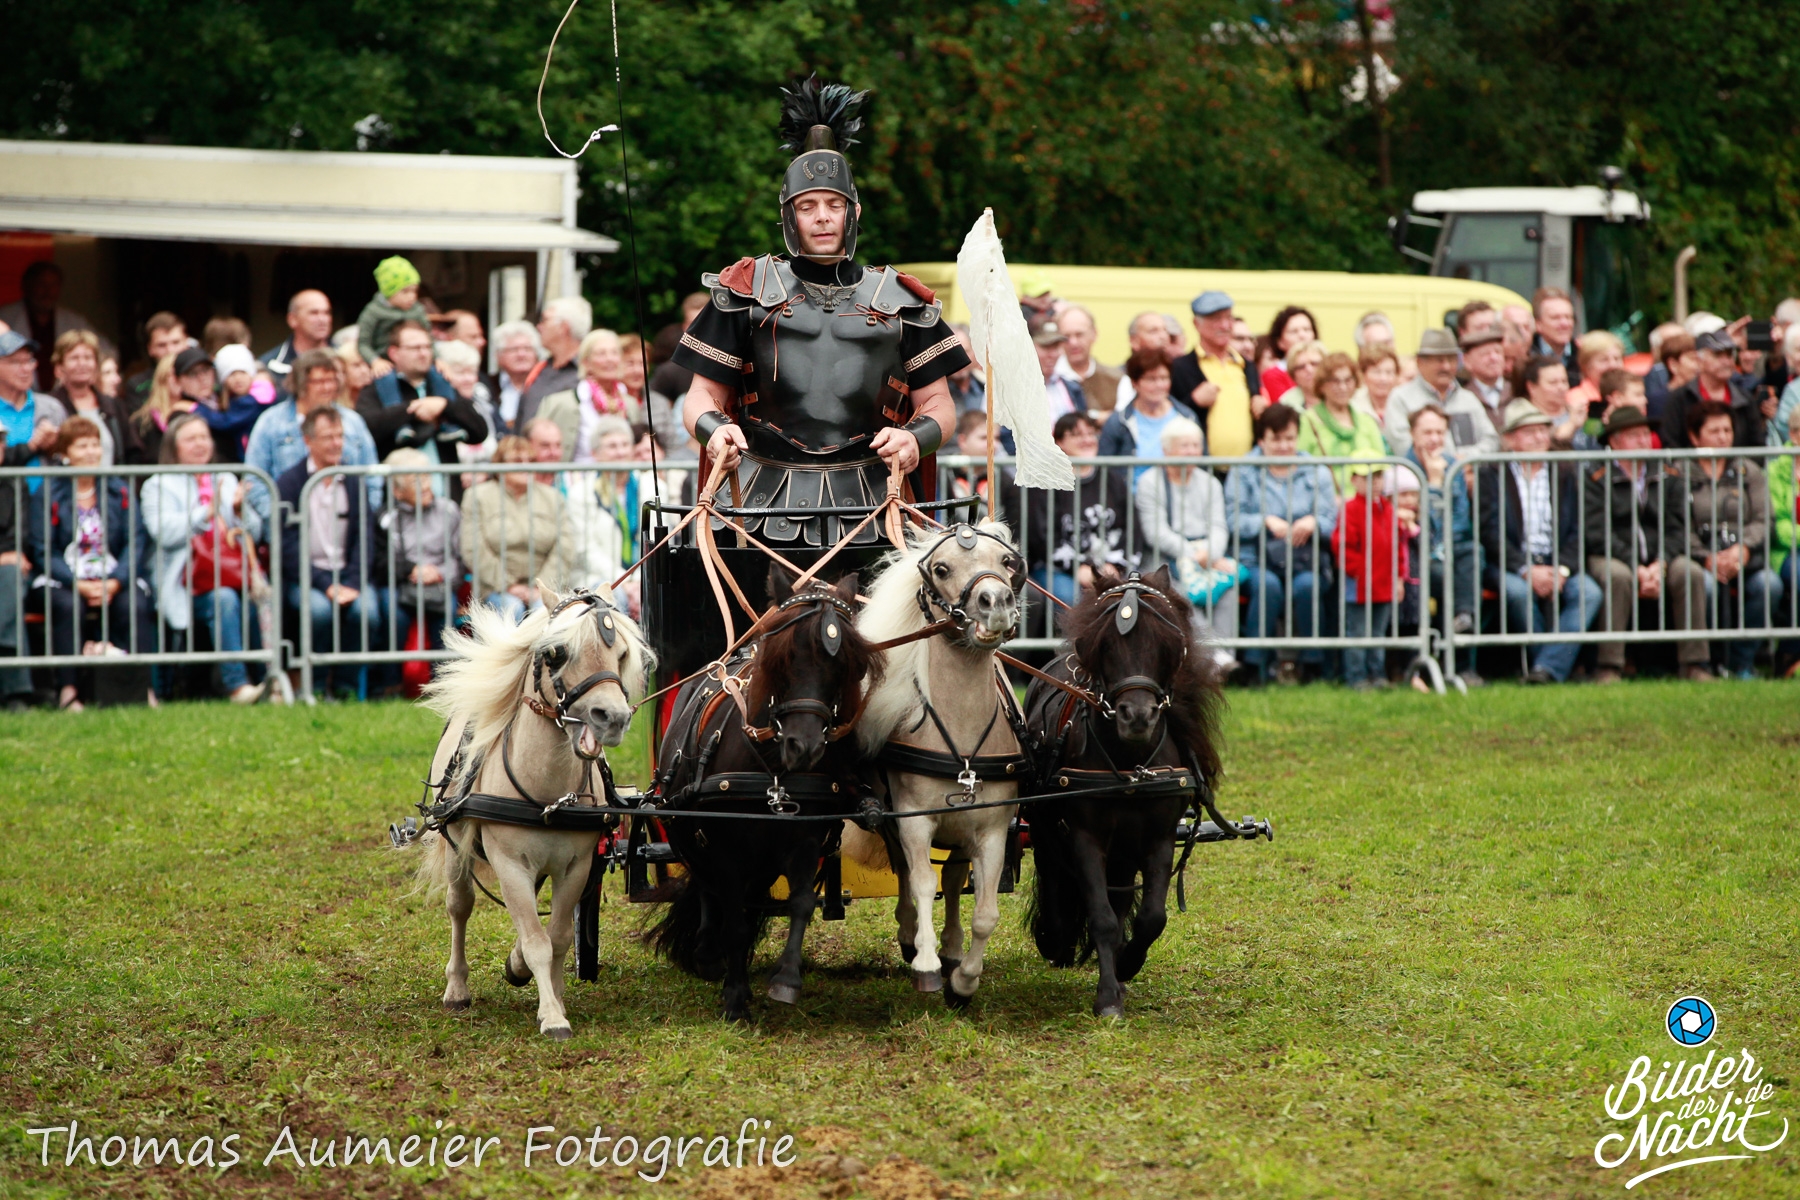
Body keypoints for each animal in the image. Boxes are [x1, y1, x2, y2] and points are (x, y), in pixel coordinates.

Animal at [413, 586, 652, 1038]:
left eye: (623, 654)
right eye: (556, 653)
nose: (612, 718)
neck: (549, 796)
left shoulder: (576, 866)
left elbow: (555, 937)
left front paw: (550, 994)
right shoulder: (509, 865)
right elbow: (537, 940)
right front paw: (554, 1017)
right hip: (457, 846)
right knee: (460, 906)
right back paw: (457, 989)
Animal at [647, 567, 879, 1022]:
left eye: (844, 665)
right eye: (783, 657)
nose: (804, 747)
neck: (774, 774)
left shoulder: (806, 841)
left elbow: (801, 902)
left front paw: (786, 980)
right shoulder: (725, 847)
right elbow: (734, 917)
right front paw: (735, 997)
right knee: (708, 887)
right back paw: (708, 954)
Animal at [841, 520, 1027, 1007]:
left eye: (1006, 562)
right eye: (942, 568)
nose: (996, 603)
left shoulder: (992, 829)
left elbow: (984, 910)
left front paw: (963, 980)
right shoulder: (912, 820)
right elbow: (923, 882)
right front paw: (924, 963)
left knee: (956, 878)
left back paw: (952, 949)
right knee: (911, 873)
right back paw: (912, 937)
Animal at [1021, 565, 1223, 1017]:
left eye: (1167, 643)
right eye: (1104, 643)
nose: (1137, 717)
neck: (1131, 765)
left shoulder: (1158, 837)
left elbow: (1151, 917)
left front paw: (1127, 965)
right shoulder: (1084, 836)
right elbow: (1100, 914)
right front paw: (1107, 997)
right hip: (1045, 825)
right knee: (1053, 872)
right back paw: (1056, 940)